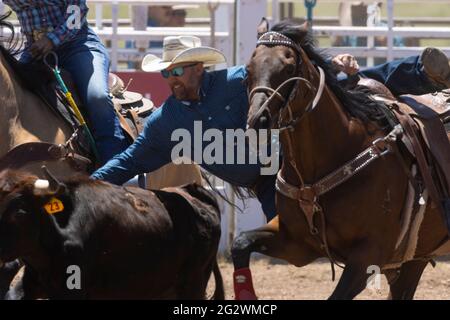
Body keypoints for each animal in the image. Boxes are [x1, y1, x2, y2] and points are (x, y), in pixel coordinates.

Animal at [230, 20, 450, 300]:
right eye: (248, 70)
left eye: (289, 67)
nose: (258, 119)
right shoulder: (295, 244)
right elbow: (240, 243)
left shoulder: (367, 257)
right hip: (415, 260)